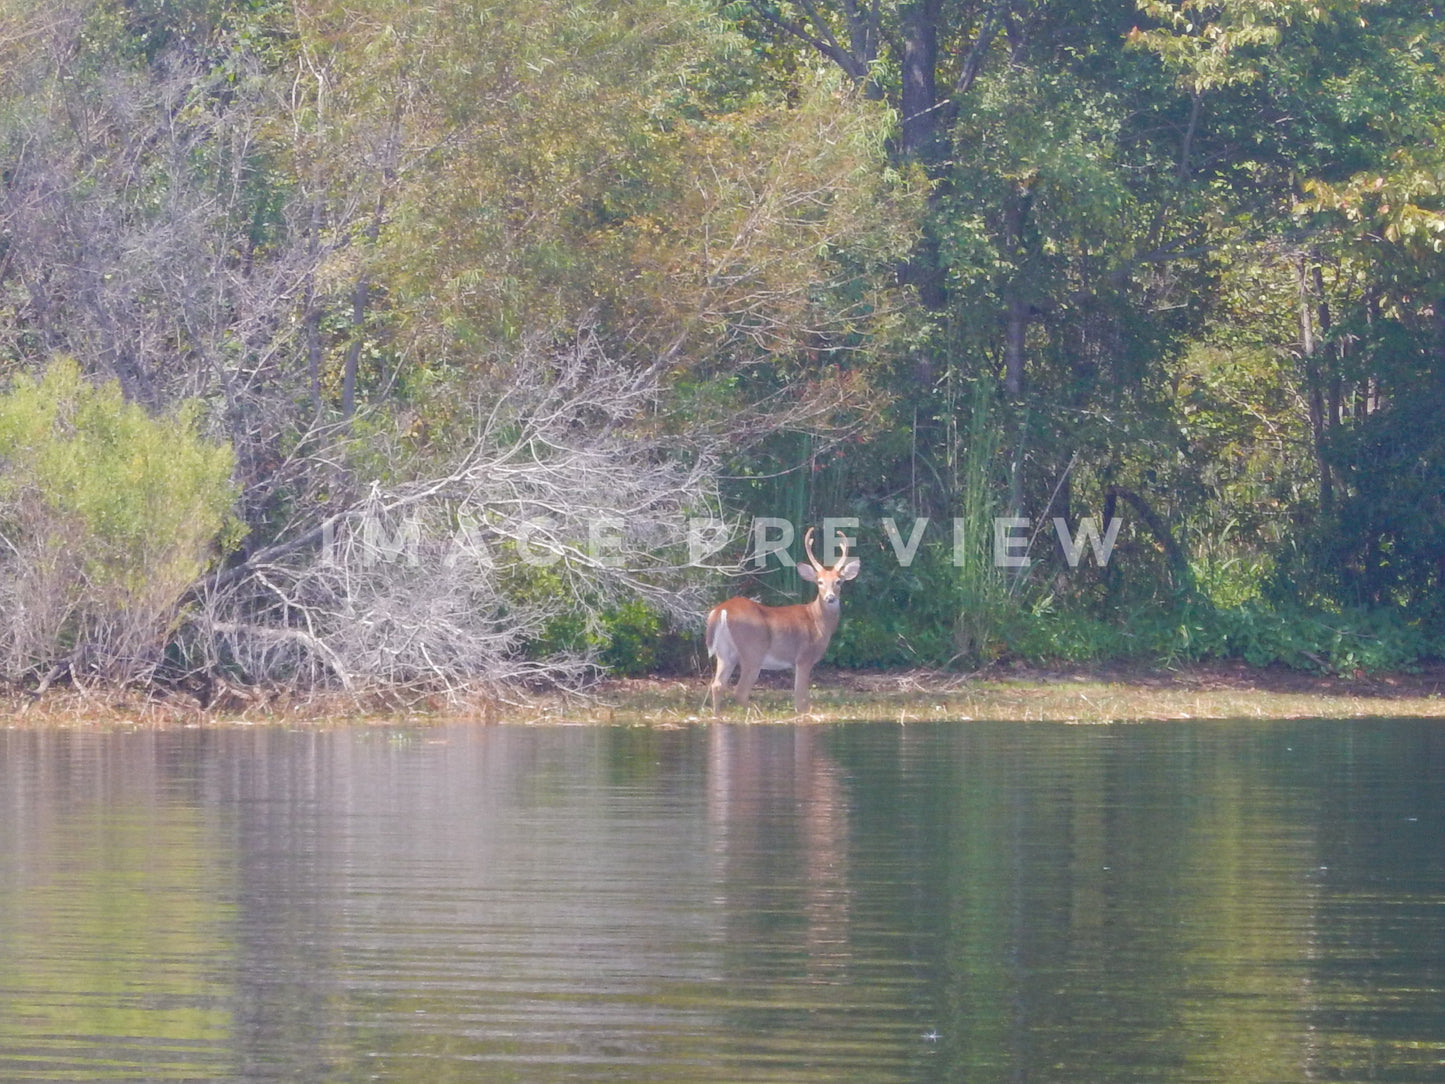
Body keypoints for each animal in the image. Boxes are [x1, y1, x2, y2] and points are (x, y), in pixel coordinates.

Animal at [705, 526, 861, 715]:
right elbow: (801, 698)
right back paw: (756, 714)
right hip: (752, 651)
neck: (818, 621)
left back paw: (717, 716)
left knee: (717, 685)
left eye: (839, 581)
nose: (830, 598)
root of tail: (722, 610)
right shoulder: (804, 656)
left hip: (725, 652)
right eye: (819, 582)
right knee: (739, 691)